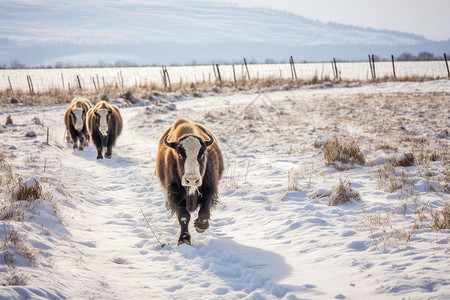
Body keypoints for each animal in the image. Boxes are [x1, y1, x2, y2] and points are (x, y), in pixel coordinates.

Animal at [156, 118, 224, 246]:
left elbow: (204, 211)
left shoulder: (210, 188)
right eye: (180, 155)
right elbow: (183, 216)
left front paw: (200, 226)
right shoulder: (174, 193)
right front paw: (184, 239)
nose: (192, 179)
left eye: (202, 154)